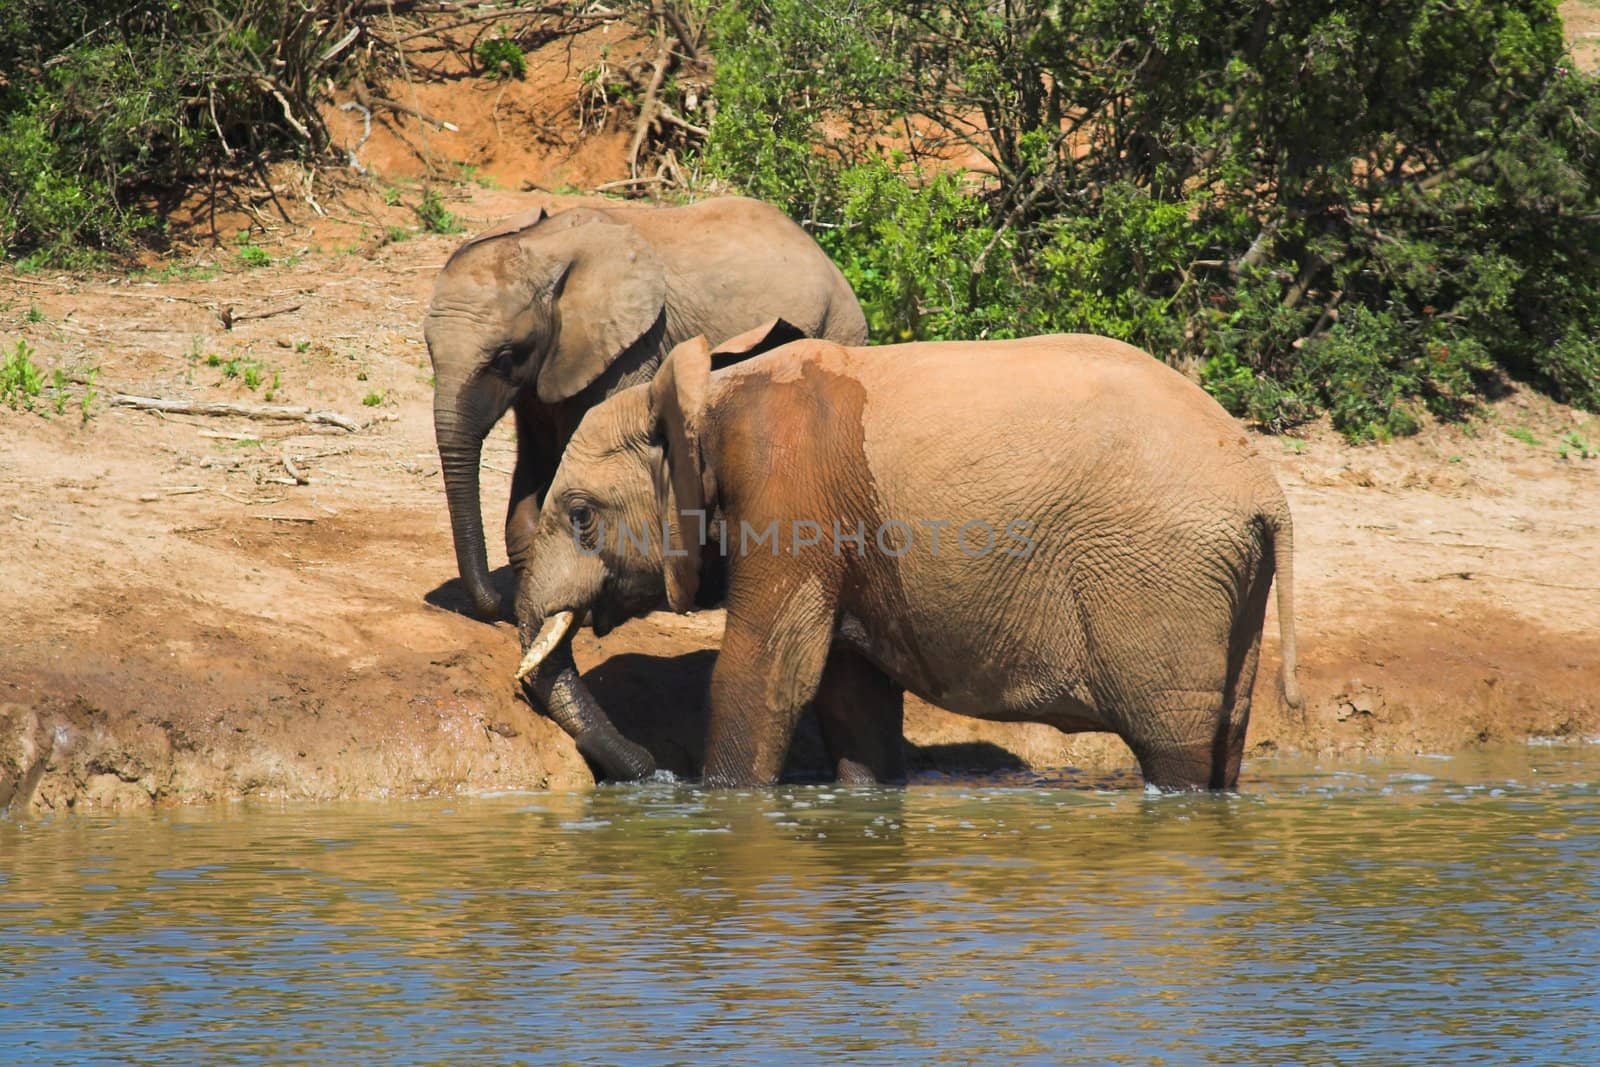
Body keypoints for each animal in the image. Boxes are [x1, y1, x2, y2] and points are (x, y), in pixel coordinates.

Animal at [422, 195, 864, 780]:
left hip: (840, 330)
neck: (543, 248)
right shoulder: (553, 368)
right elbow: (532, 477)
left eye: (505, 355)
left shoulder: (630, 350)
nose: (493, 604)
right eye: (427, 351)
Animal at [512, 326, 1299, 793]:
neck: (704, 393)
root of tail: (1266, 489)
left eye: (579, 515)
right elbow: (850, 693)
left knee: (1173, 745)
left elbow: (764, 673)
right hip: (1226, 581)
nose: (652, 773)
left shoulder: (789, 496)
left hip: (1161, 575)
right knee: (1226, 735)